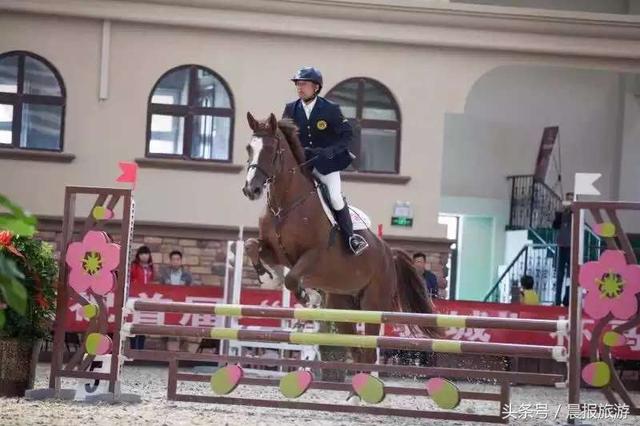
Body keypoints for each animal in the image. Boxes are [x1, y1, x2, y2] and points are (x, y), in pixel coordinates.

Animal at [242, 111, 438, 364]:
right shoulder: (274, 250)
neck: (284, 206)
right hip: (342, 304)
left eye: (270, 149)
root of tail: (389, 253)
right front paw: (267, 277)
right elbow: (251, 245)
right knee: (357, 351)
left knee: (368, 352)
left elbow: (293, 279)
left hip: (372, 304)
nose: (251, 190)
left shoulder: (314, 256)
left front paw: (308, 297)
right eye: (249, 148)